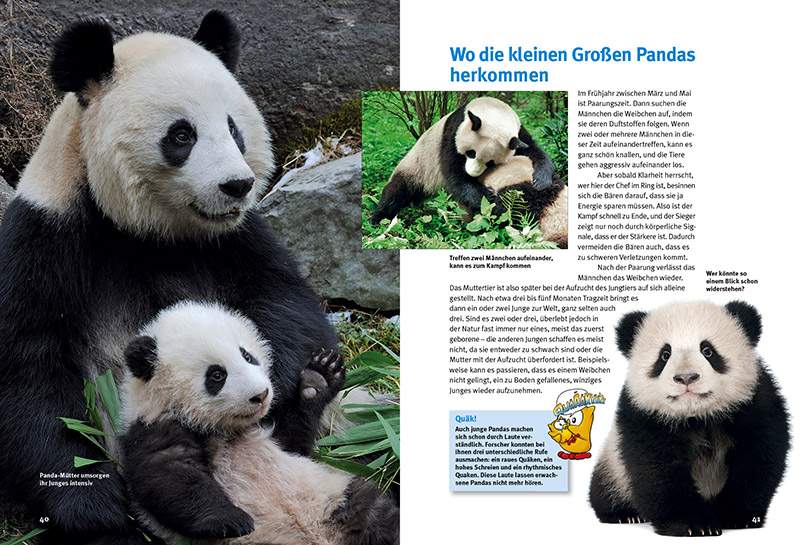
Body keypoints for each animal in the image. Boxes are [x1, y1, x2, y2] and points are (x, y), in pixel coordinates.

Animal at [0, 12, 338, 545]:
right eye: (182, 135)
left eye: (234, 129)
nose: (237, 185)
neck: (143, 230)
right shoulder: (46, 236)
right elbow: (29, 367)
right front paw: (91, 507)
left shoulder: (236, 237)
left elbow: (287, 301)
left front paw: (277, 383)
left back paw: (310, 393)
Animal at [120, 301, 399, 545]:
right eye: (217, 375)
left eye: (247, 356)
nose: (262, 394)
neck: (225, 430)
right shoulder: (155, 426)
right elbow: (171, 476)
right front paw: (232, 519)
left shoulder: (270, 432)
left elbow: (295, 442)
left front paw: (318, 379)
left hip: (336, 498)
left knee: (378, 516)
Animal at [370, 96, 556, 224]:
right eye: (471, 153)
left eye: (490, 162)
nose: (472, 173)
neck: (494, 111)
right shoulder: (452, 134)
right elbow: (456, 178)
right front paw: (495, 204)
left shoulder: (518, 132)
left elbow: (532, 149)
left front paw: (541, 180)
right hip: (415, 167)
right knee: (395, 192)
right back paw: (377, 219)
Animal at [589, 301, 790, 537]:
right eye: (665, 355)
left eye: (708, 351)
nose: (686, 377)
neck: (698, 416)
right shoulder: (644, 417)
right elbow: (658, 470)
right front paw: (693, 524)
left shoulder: (754, 404)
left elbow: (757, 460)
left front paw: (736, 516)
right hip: (613, 467)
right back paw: (624, 514)